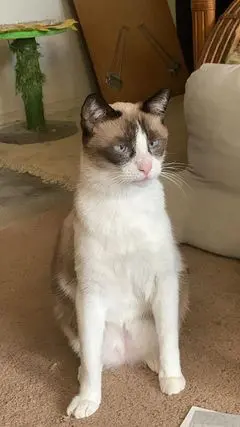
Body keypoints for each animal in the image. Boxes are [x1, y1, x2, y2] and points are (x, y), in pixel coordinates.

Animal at [51, 88, 188, 420]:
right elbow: (90, 362)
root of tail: (129, 355)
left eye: (153, 144)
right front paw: (87, 401)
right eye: (122, 148)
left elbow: (169, 341)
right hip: (71, 311)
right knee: (90, 358)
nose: (146, 167)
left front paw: (171, 380)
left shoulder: (163, 280)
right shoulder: (90, 293)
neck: (125, 204)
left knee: (161, 341)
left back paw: (156, 365)